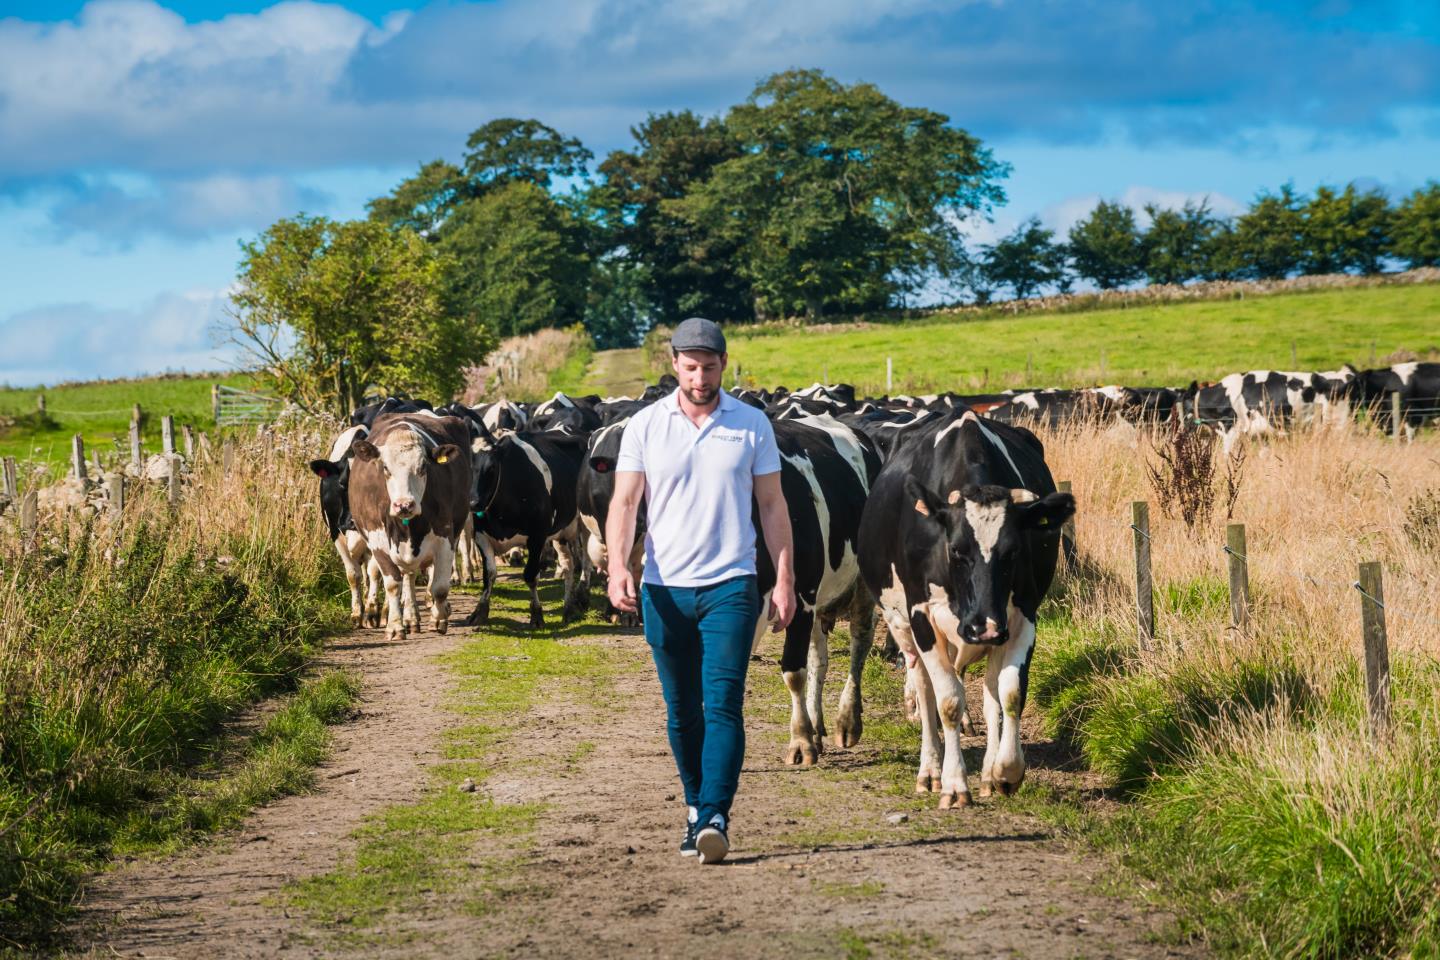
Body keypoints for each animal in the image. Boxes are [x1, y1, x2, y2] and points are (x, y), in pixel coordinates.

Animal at [466, 423, 590, 627]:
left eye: (491, 468)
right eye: (467, 467)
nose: (473, 503)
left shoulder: (537, 536)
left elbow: (531, 575)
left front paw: (536, 615)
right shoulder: (481, 535)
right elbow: (489, 574)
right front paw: (479, 612)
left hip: (586, 525)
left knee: (587, 561)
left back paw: (583, 596)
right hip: (561, 532)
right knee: (568, 565)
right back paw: (568, 608)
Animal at [852, 408, 1071, 805]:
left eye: (1014, 551)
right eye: (955, 550)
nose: (984, 625)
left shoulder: (1021, 616)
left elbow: (1010, 693)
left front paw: (1006, 771)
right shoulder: (922, 616)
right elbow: (948, 700)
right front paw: (954, 783)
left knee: (989, 689)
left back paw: (985, 771)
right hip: (902, 625)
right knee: (924, 688)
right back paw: (930, 768)